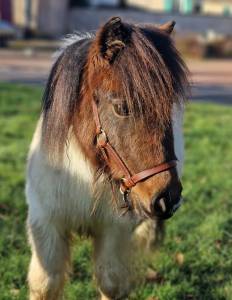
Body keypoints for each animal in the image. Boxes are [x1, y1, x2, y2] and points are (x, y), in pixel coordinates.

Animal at [25, 17, 188, 300]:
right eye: (122, 107)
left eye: (168, 107)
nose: (167, 199)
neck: (87, 173)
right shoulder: (45, 224)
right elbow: (46, 284)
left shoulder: (115, 231)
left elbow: (111, 283)